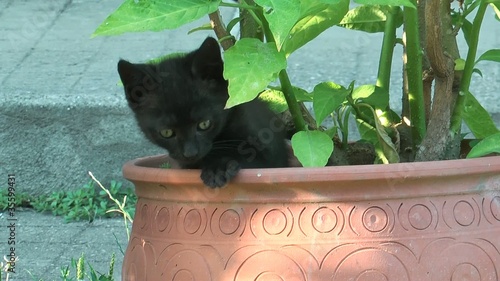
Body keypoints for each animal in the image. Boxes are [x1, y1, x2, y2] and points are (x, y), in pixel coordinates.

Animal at [118, 36, 290, 187]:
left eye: (204, 124)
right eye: (166, 132)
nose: (190, 153)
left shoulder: (269, 154)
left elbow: (250, 159)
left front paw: (218, 169)